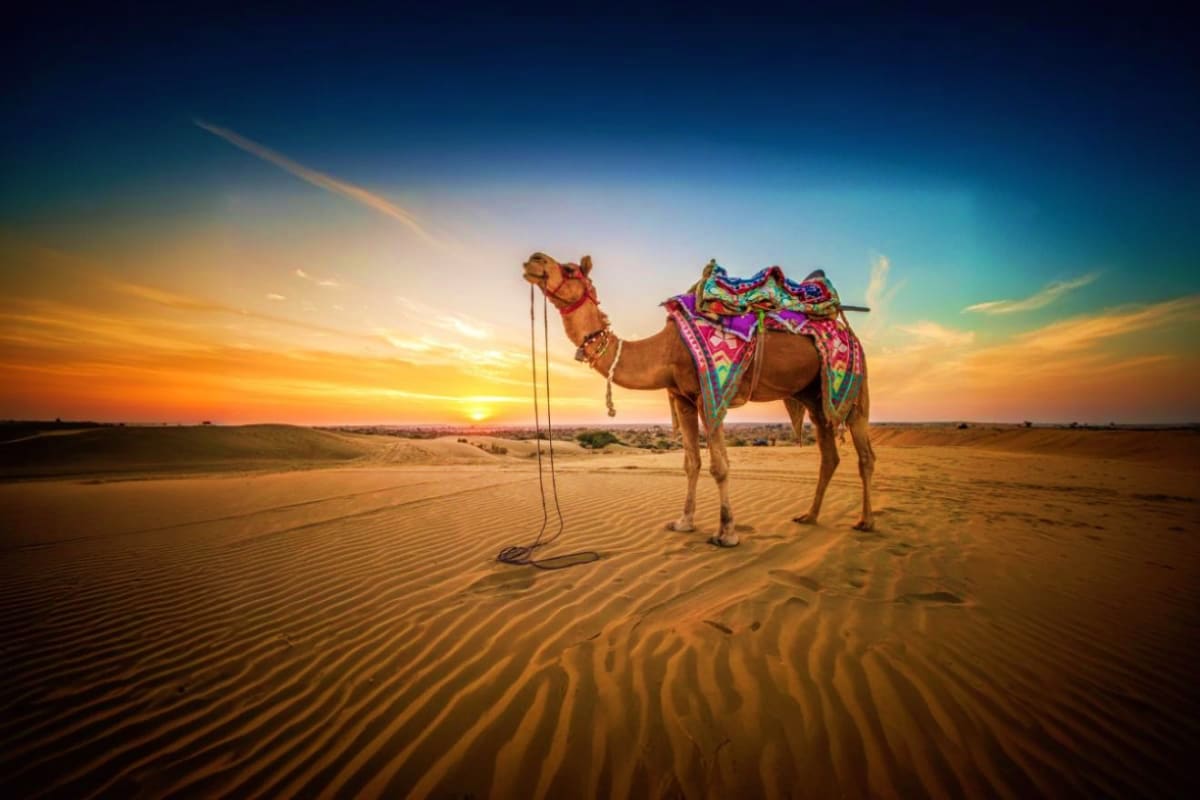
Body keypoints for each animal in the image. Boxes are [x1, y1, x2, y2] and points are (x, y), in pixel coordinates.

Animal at [522, 252, 876, 547]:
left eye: (569, 269)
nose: (534, 259)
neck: (665, 350)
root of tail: (847, 330)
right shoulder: (683, 399)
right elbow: (691, 463)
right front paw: (684, 522)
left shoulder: (711, 396)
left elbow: (720, 466)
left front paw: (726, 533)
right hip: (814, 395)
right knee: (828, 453)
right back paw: (809, 516)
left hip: (855, 384)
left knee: (865, 454)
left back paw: (866, 522)